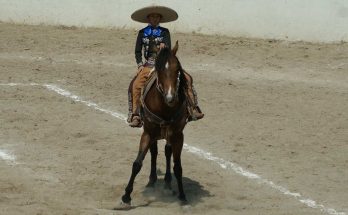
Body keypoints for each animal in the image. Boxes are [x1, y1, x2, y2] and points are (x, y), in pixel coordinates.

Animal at [121, 41, 189, 206]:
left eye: (178, 69)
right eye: (159, 69)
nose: (170, 97)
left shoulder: (178, 135)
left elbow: (178, 167)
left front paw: (182, 196)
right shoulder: (148, 133)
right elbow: (137, 163)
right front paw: (126, 196)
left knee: (167, 151)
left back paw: (167, 183)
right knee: (154, 151)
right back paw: (152, 181)